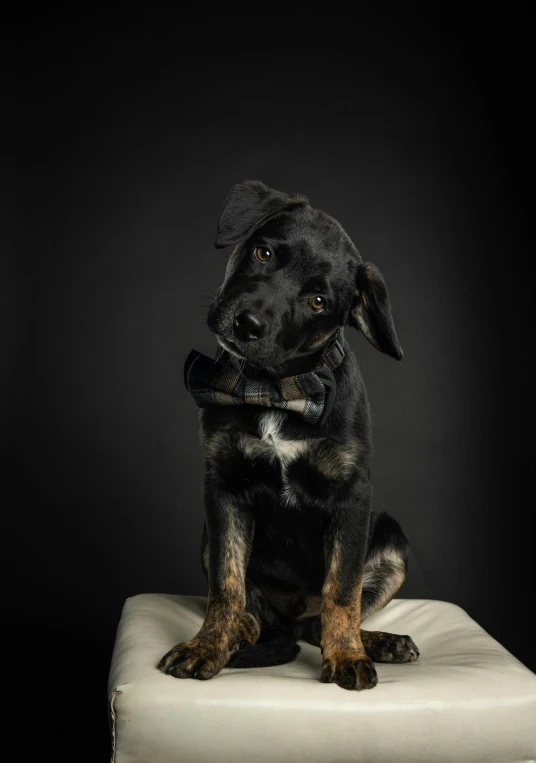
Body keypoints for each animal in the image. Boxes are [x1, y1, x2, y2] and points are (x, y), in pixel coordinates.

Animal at [158, 181, 418, 692]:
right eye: (263, 252)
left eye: (318, 302)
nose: (247, 324)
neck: (277, 391)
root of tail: (291, 621)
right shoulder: (224, 489)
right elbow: (226, 584)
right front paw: (207, 646)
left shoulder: (352, 496)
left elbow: (342, 589)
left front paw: (347, 657)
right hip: (208, 532)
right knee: (255, 613)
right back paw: (241, 631)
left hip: (391, 537)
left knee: (323, 621)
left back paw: (376, 642)